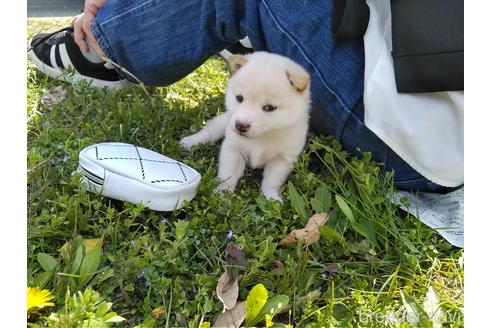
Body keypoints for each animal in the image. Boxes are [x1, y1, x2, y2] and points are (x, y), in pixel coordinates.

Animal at [181, 51, 312, 201]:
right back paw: (190, 142)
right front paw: (222, 194)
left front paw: (271, 198)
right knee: (210, 131)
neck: (262, 137)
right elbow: (227, 175)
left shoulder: (282, 159)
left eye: (269, 108)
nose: (241, 125)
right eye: (239, 98)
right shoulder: (234, 148)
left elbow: (272, 181)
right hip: (224, 121)